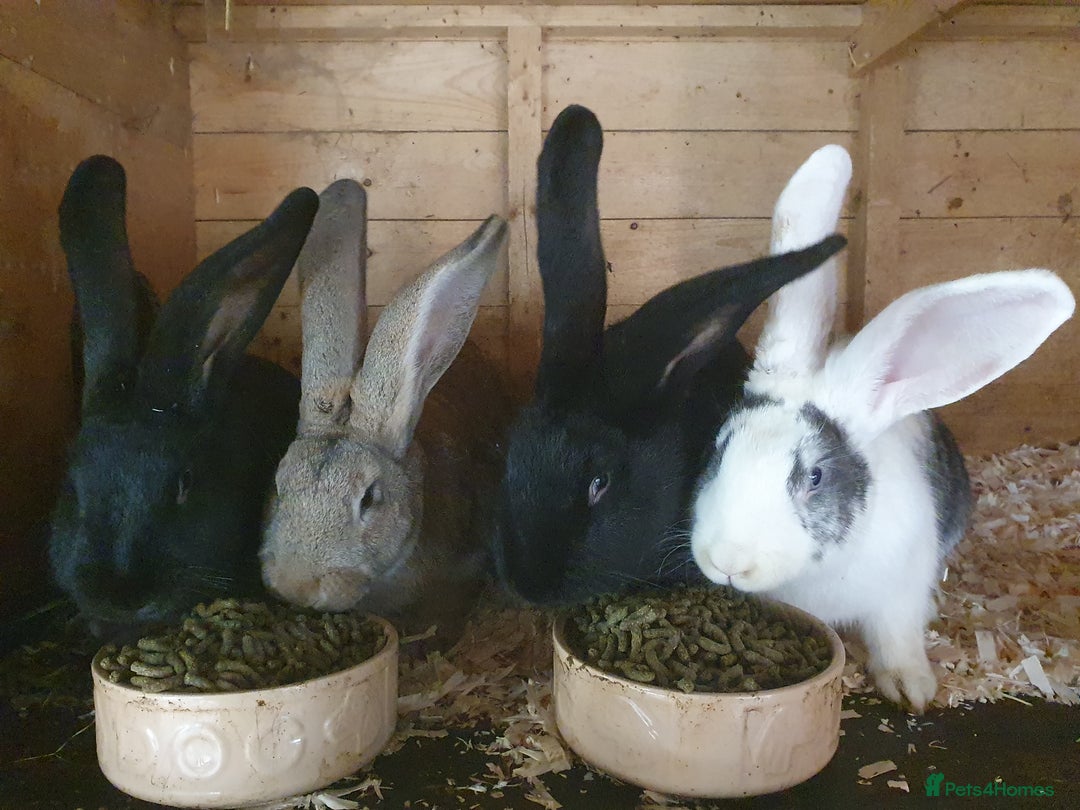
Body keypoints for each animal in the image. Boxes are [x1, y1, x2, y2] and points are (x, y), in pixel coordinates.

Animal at [690, 143, 1076, 712]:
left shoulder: (901, 591)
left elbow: (897, 637)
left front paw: (910, 688)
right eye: (719, 449)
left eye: (815, 477)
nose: (728, 561)